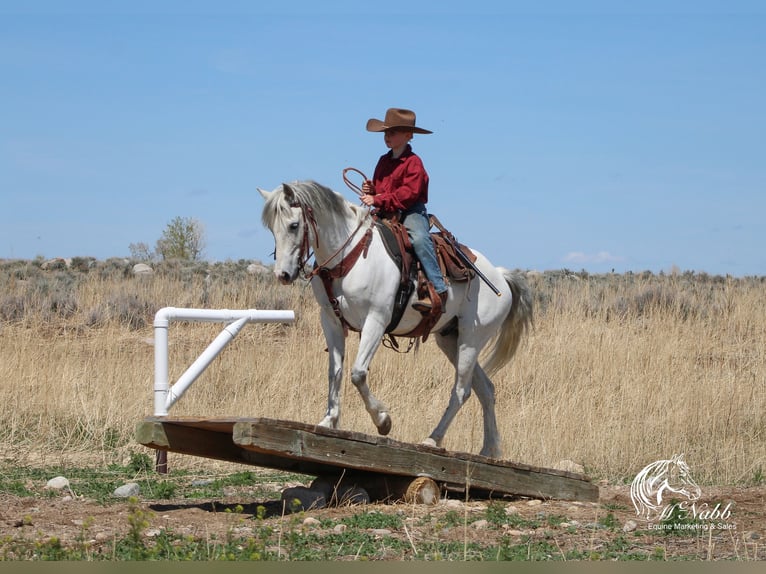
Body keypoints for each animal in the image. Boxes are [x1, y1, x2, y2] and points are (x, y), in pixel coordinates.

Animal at [260, 180, 536, 460]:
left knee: (462, 390)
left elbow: (358, 373)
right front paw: (329, 420)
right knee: (486, 389)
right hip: (450, 338)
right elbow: (334, 372)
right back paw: (489, 449)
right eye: (271, 227)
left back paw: (433, 439)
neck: (350, 256)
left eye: (294, 225)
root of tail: (501, 277)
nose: (283, 274)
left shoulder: (376, 320)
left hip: (471, 339)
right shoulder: (331, 321)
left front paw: (383, 420)